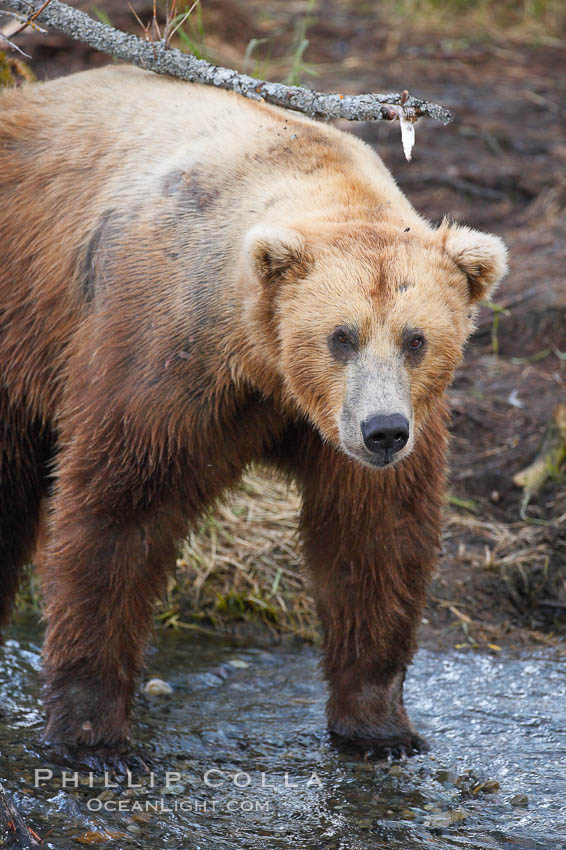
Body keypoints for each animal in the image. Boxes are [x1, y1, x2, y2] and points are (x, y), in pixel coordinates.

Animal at [0, 66, 508, 760]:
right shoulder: (165, 357)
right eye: (341, 336)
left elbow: (376, 536)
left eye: (416, 339)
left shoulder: (364, 428)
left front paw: (379, 724)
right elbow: (117, 515)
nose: (382, 432)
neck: (268, 372)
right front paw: (92, 735)